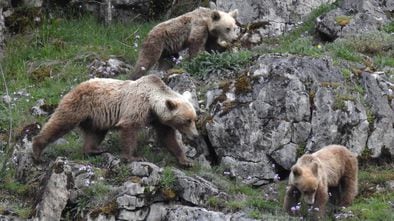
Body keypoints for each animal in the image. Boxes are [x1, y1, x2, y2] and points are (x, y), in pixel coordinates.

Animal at [32, 74, 199, 166]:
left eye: (194, 119)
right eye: (187, 120)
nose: (196, 135)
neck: (152, 104)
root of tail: (77, 86)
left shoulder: (158, 119)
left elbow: (168, 136)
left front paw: (186, 160)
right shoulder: (136, 106)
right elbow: (129, 129)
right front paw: (133, 157)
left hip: (96, 118)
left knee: (96, 133)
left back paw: (94, 149)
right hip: (79, 105)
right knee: (60, 123)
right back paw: (37, 150)